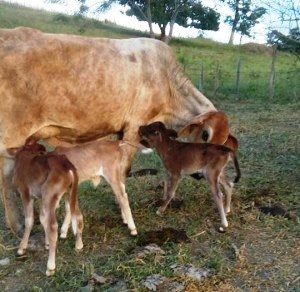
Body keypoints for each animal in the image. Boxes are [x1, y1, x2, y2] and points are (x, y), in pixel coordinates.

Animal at [0, 26, 230, 234]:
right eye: (205, 135)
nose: (201, 173)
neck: (168, 83)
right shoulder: (134, 126)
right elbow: (124, 172)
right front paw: (125, 216)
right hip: (12, 137)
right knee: (7, 179)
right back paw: (18, 225)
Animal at [10, 144, 83, 276]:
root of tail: (67, 166)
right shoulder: (40, 197)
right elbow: (42, 219)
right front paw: (47, 243)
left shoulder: (25, 194)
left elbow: (29, 221)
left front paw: (22, 248)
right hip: (70, 193)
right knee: (78, 216)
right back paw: (79, 245)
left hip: (50, 194)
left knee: (53, 226)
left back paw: (50, 267)